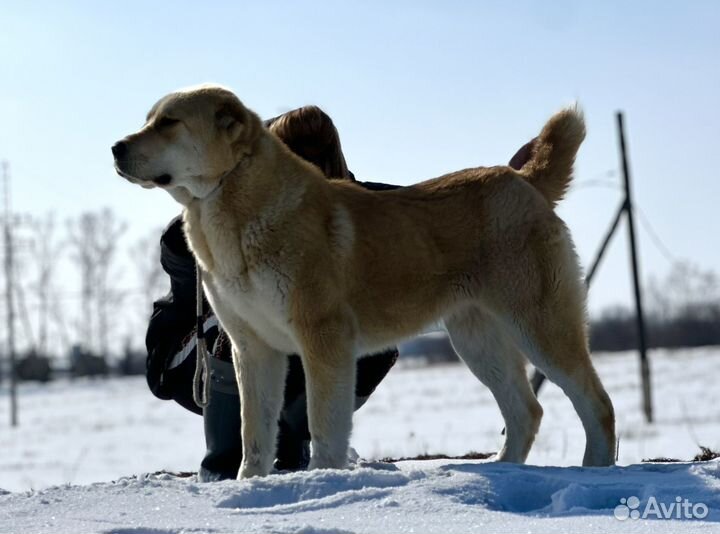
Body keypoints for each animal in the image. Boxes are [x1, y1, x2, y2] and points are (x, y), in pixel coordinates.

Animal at [111, 85, 612, 482]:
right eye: (148, 120)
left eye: (170, 122)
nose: (115, 147)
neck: (229, 207)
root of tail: (523, 180)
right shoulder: (252, 348)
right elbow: (254, 430)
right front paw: (250, 485)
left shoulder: (323, 338)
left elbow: (323, 420)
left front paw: (321, 482)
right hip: (477, 340)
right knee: (526, 410)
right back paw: (503, 469)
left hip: (539, 325)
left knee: (595, 402)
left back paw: (597, 473)